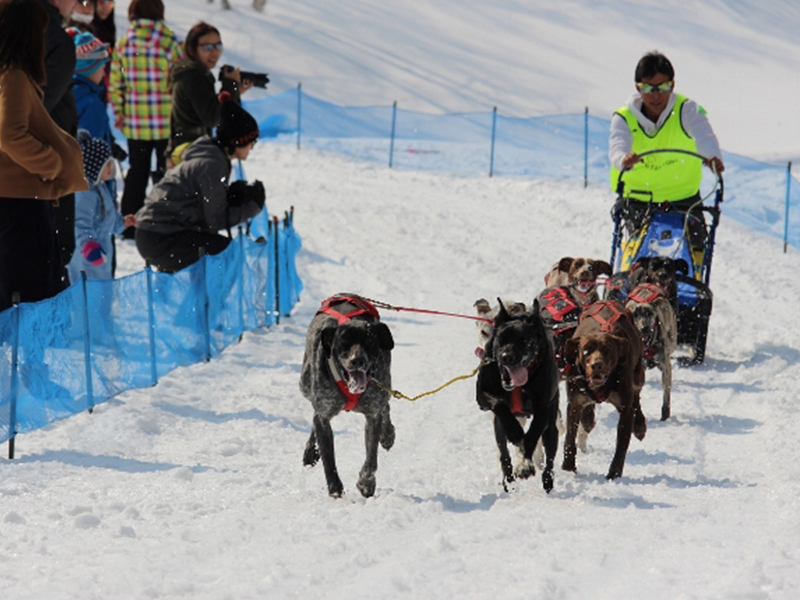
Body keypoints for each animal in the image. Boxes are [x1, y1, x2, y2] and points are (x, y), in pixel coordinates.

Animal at [300, 294, 396, 496]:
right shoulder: (323, 415)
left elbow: (371, 459)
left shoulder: (372, 414)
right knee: (313, 415)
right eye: (344, 340)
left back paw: (388, 434)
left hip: (385, 385)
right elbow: (329, 459)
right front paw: (335, 489)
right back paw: (310, 452)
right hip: (304, 385)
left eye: (369, 340)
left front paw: (366, 482)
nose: (357, 360)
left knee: (386, 405)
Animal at [478, 298, 560, 492]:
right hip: (498, 428)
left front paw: (524, 465)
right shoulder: (482, 396)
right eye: (500, 339)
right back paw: (508, 480)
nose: (507, 357)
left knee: (549, 453)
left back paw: (545, 479)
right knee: (504, 454)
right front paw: (514, 431)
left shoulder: (542, 407)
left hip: (552, 425)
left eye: (525, 341)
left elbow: (531, 436)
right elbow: (499, 405)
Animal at [560, 302, 648, 480]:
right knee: (587, 417)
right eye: (586, 350)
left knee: (636, 396)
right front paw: (568, 467)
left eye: (607, 349)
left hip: (638, 375)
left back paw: (639, 425)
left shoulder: (625, 409)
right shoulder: (575, 403)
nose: (597, 365)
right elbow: (569, 438)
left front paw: (614, 473)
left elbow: (622, 444)